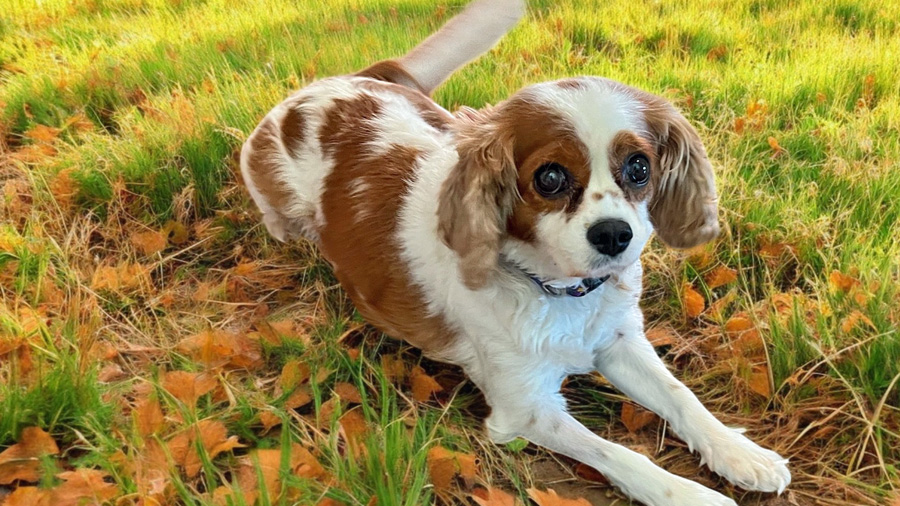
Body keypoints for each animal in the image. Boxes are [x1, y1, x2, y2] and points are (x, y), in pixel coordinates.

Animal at [243, 0, 792, 502]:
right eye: (549, 177)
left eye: (639, 167)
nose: (615, 235)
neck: (562, 291)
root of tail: (344, 81)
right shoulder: (526, 409)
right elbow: (621, 454)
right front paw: (691, 494)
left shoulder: (619, 341)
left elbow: (681, 397)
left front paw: (741, 453)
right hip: (272, 196)